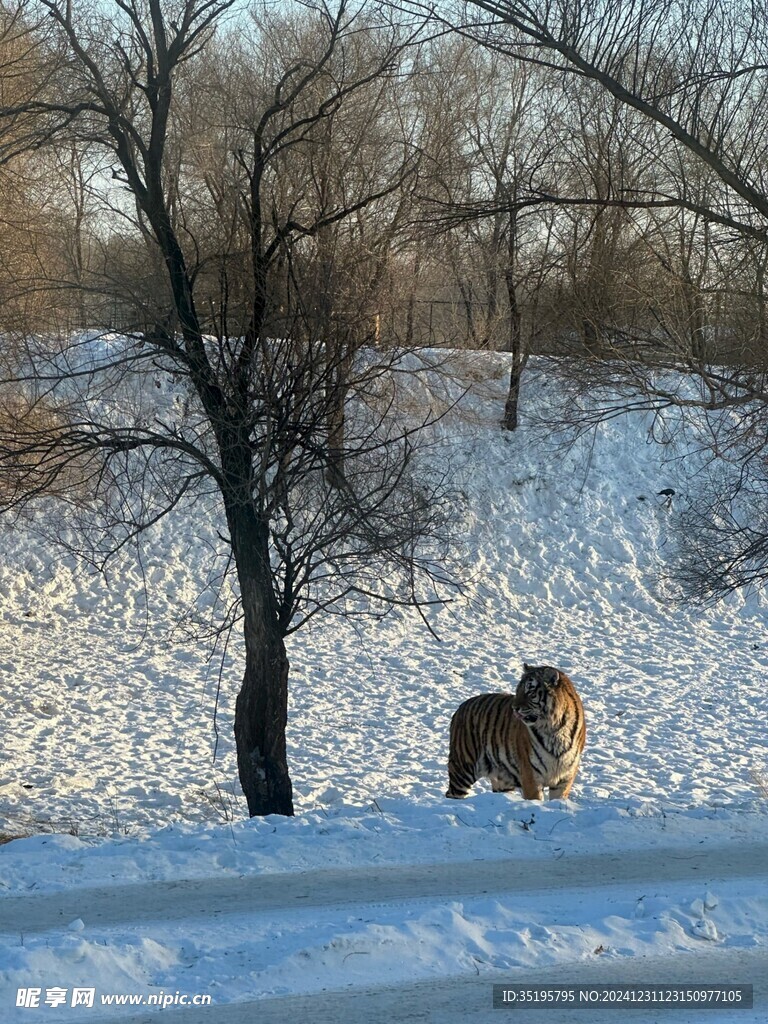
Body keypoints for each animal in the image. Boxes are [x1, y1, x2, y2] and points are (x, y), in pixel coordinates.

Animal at [444, 663, 589, 798]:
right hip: (463, 769)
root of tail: (460, 708)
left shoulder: (564, 778)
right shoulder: (531, 775)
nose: (514, 708)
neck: (555, 730)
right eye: (518, 690)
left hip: (502, 779)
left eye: (530, 692)